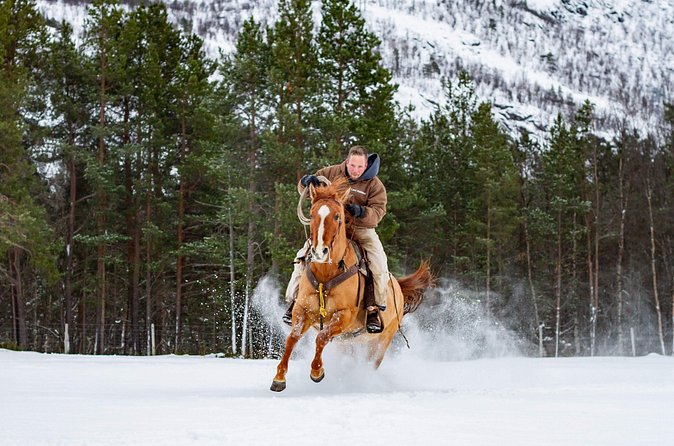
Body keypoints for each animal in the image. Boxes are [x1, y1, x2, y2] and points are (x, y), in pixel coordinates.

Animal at [270, 177, 433, 392]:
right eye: (312, 214)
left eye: (337, 216)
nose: (319, 252)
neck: (326, 274)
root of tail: (398, 288)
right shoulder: (302, 310)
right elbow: (292, 338)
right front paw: (279, 378)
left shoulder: (344, 315)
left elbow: (321, 337)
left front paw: (317, 372)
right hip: (348, 343)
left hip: (380, 342)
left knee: (370, 363)